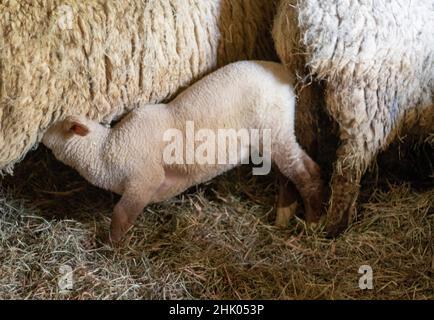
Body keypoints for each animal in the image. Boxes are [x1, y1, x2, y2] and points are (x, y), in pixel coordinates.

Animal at [42, 60, 324, 241]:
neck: (105, 149)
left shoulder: (144, 179)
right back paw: (285, 213)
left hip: (275, 126)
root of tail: (284, 73)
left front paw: (112, 245)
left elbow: (121, 215)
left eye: (53, 125)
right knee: (287, 172)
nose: (38, 136)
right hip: (270, 136)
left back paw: (313, 222)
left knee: (306, 171)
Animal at [272, 0, 432, 235]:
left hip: (300, 88)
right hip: (365, 106)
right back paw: (334, 228)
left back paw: (289, 212)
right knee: (347, 172)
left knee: (297, 146)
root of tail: (308, 17)